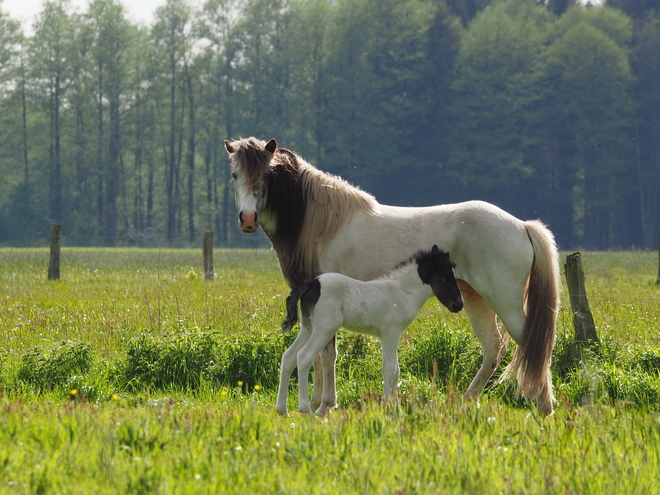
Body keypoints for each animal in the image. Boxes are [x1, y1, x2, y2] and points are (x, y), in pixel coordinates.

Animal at [276, 246, 462, 416]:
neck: (403, 291)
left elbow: (396, 371)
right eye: (446, 276)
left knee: (288, 357)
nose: (459, 305)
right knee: (303, 357)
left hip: (308, 328)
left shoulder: (394, 335)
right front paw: (388, 406)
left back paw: (282, 410)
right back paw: (306, 410)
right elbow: (390, 369)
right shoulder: (389, 333)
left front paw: (396, 408)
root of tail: (311, 284)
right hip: (324, 329)